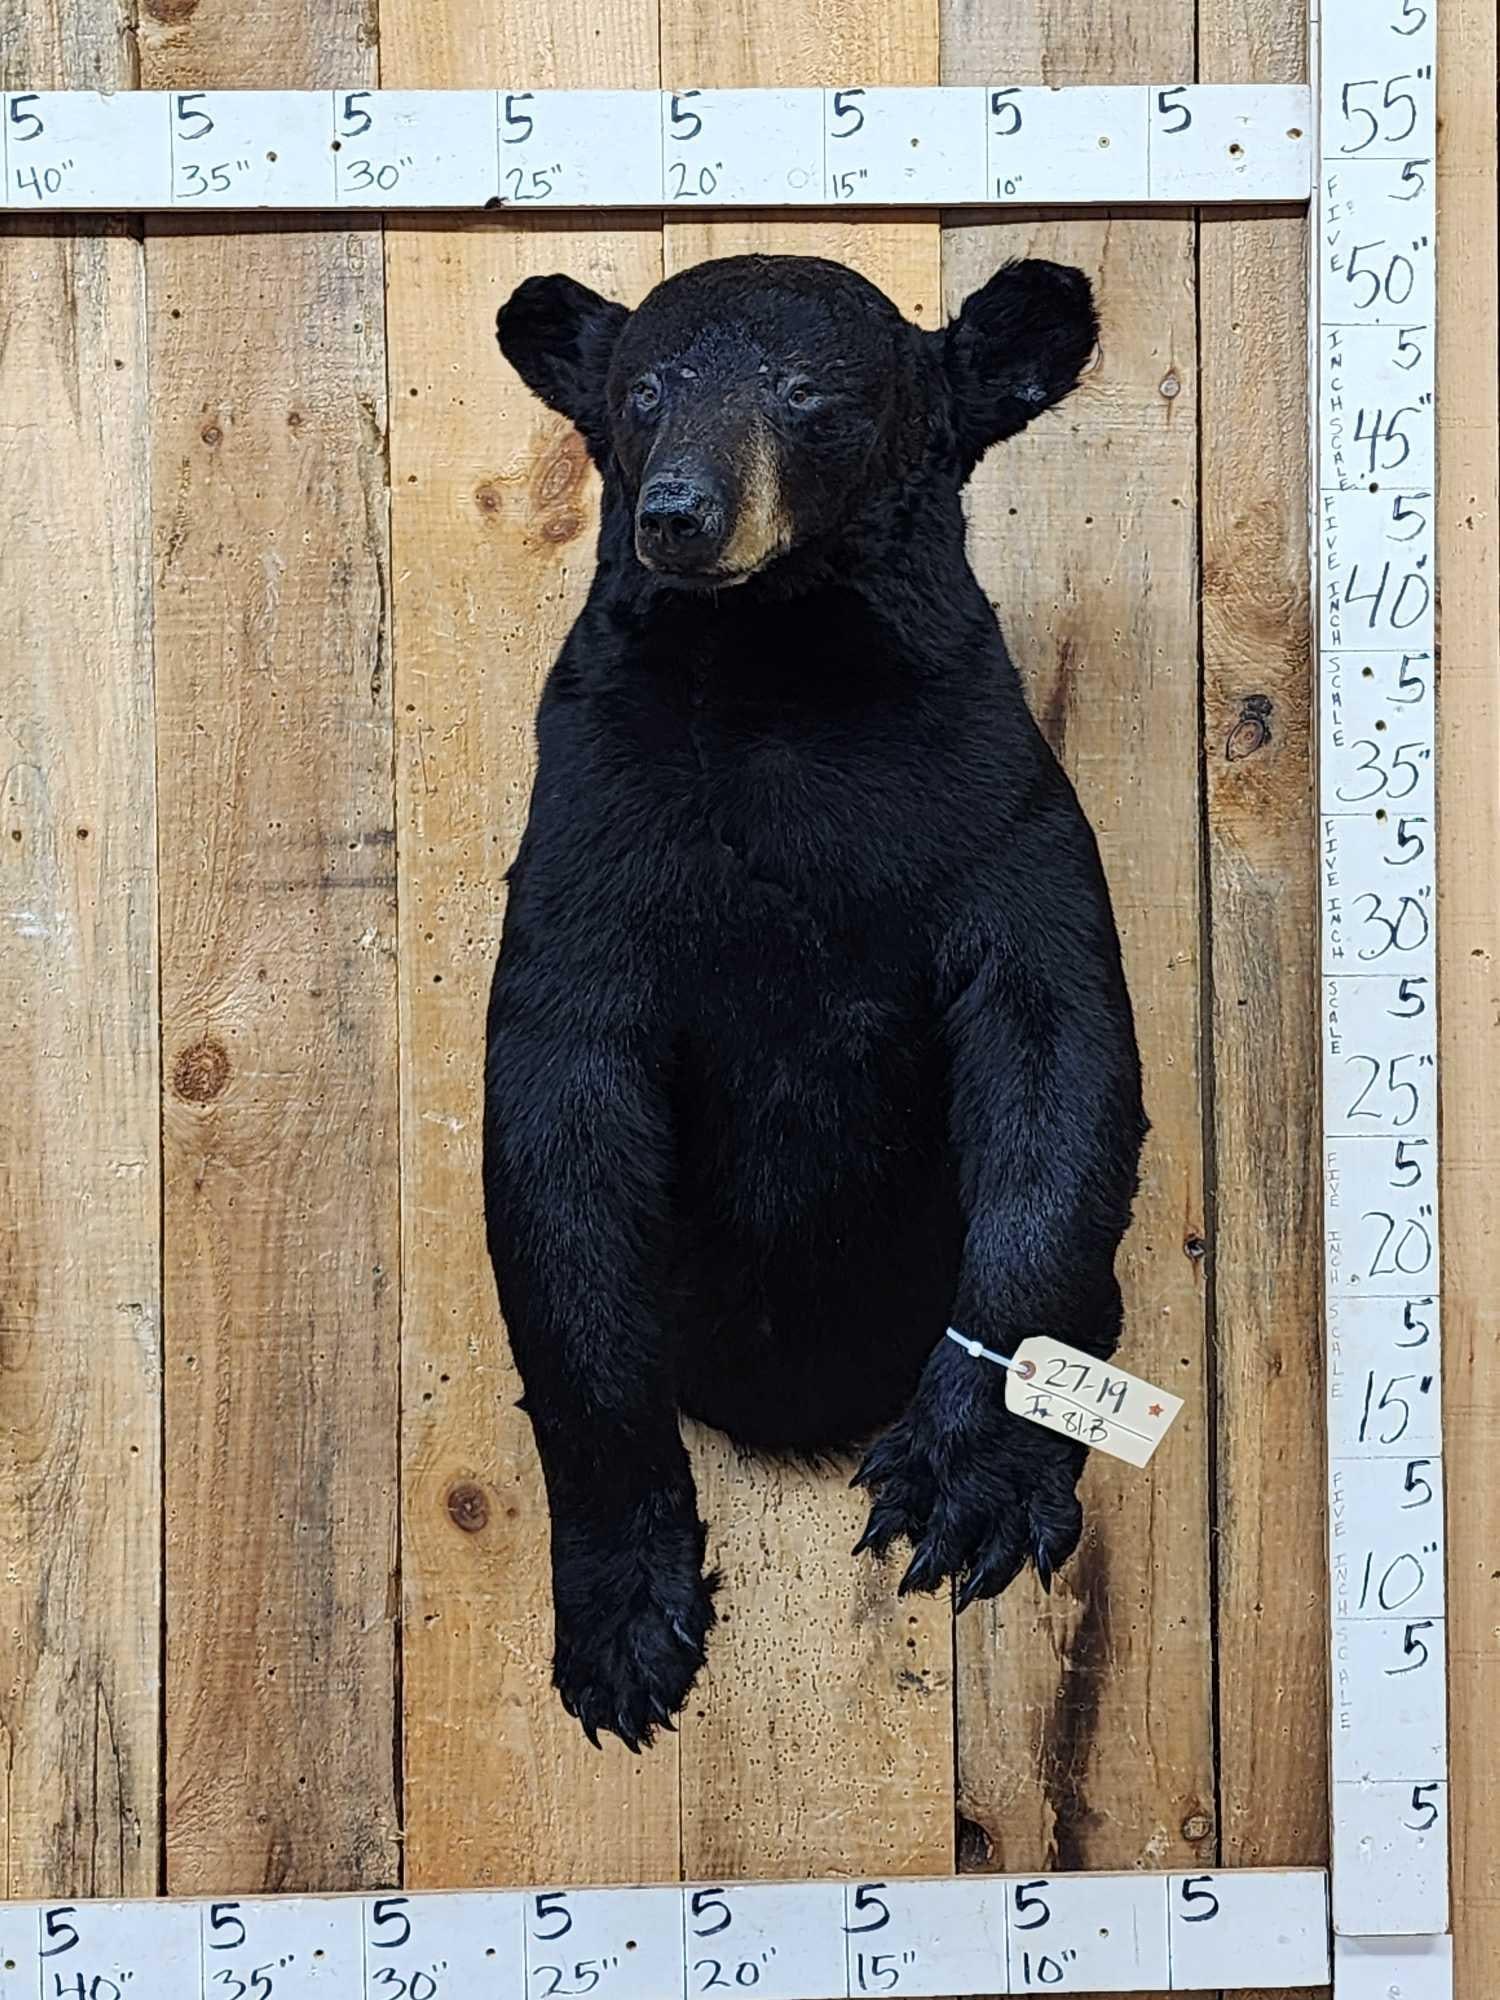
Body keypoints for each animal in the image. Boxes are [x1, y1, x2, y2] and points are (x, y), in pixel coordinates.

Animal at [485, 251, 1147, 1752]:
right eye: (645, 391)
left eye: (808, 394)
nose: (679, 515)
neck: (779, 675)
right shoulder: (591, 845)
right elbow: (558, 1132)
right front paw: (624, 1619)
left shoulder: (990, 809)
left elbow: (1057, 1048)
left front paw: (966, 1480)